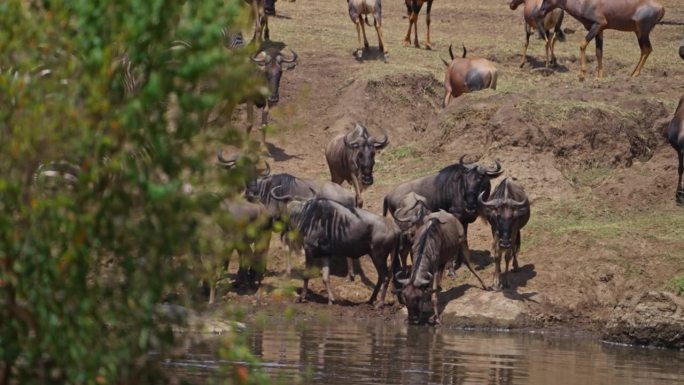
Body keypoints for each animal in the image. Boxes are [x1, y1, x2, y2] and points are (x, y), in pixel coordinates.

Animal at [536, 0, 664, 79]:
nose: (540, 13)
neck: (586, 3)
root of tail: (661, 7)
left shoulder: (598, 25)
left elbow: (582, 44)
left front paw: (582, 74)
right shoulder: (600, 30)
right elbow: (599, 52)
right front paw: (599, 77)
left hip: (642, 32)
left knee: (647, 49)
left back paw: (635, 75)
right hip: (639, 32)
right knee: (645, 50)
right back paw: (632, 73)